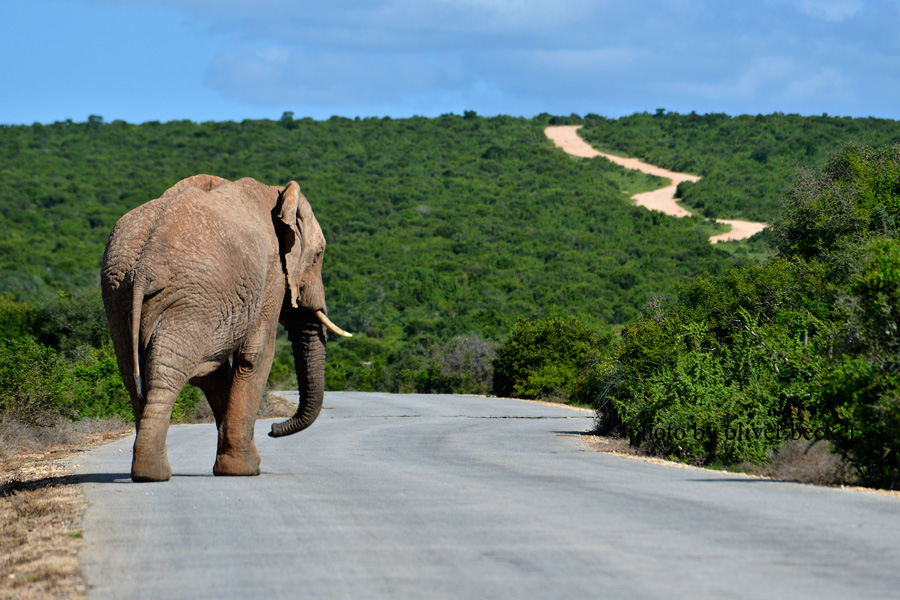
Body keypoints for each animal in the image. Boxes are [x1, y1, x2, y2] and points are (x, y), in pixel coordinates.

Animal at [100, 173, 350, 482]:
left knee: (131, 371)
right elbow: (255, 357)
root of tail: (144, 266)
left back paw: (146, 470)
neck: (276, 194)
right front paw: (245, 470)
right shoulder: (271, 274)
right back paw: (154, 474)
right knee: (167, 372)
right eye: (318, 255)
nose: (273, 429)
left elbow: (214, 372)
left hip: (118, 290)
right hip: (190, 298)